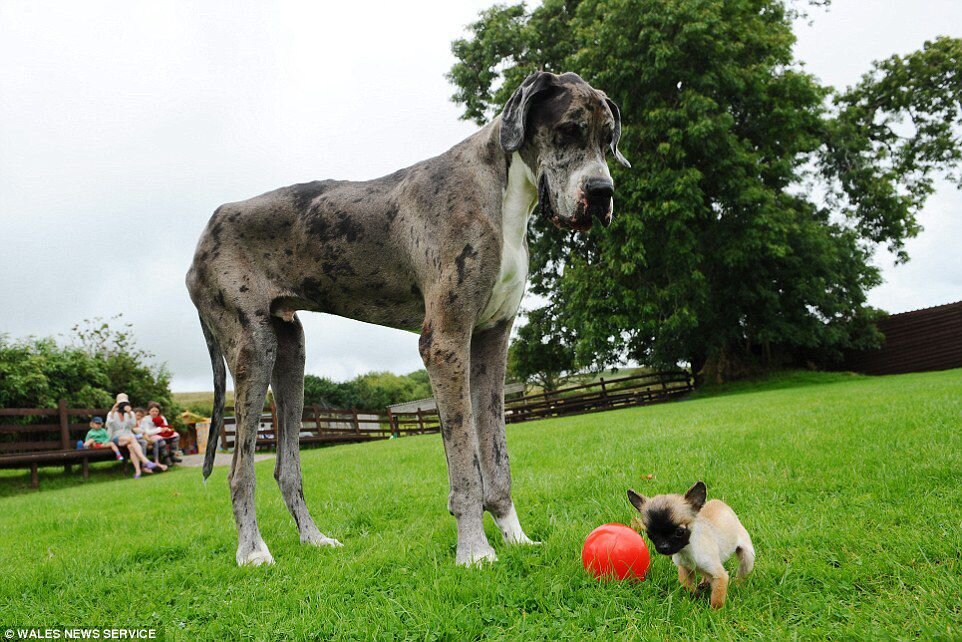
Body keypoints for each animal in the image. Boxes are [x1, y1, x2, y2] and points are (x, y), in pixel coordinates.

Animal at [628, 478, 752, 608]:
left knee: (742, 572)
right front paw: (695, 594)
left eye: (679, 532)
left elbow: (717, 598)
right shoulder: (685, 569)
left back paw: (737, 584)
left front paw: (715, 611)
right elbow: (686, 585)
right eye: (650, 535)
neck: (688, 550)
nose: (663, 547)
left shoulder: (720, 576)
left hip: (747, 557)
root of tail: (723, 504)